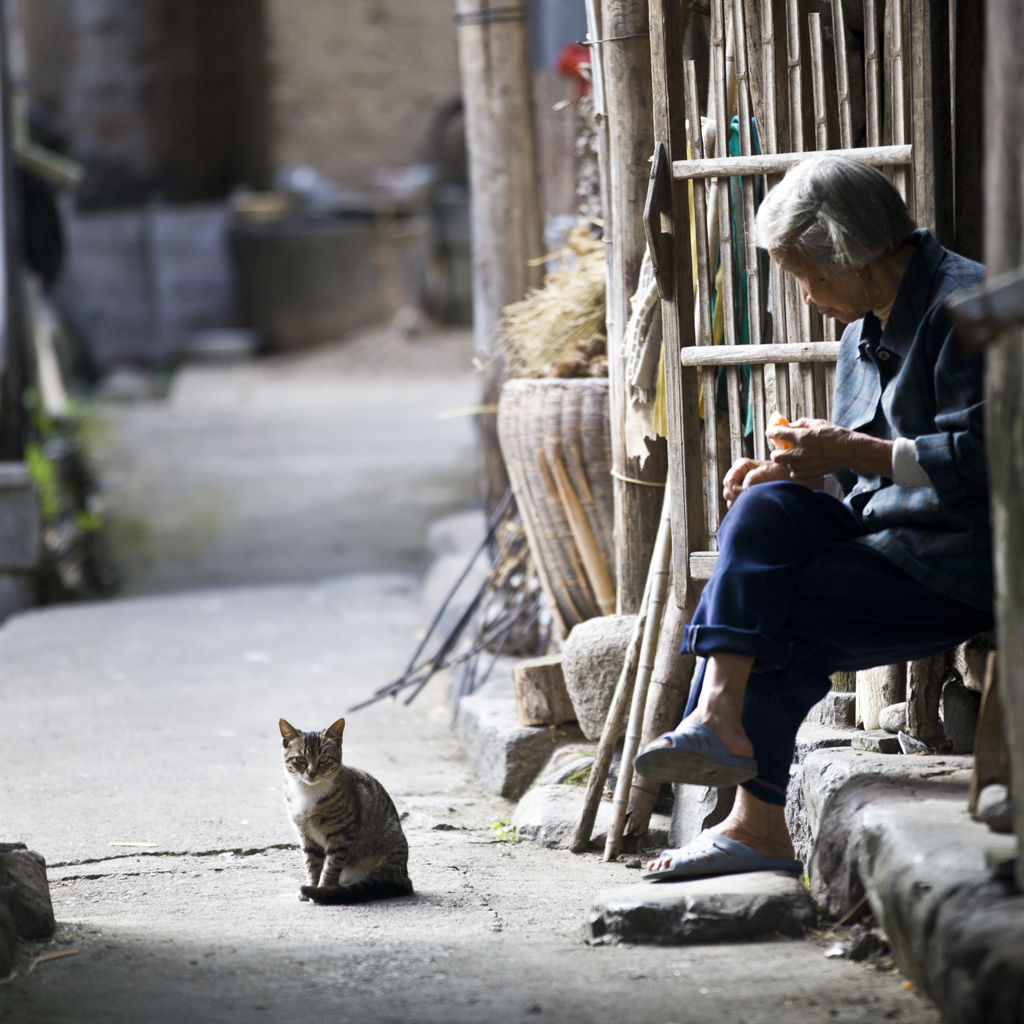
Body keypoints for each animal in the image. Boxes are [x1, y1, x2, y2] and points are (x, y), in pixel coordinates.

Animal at [280, 716, 411, 909]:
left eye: (324, 758)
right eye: (300, 759)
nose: (311, 773)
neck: (309, 792)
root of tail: (404, 875)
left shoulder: (341, 834)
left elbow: (331, 867)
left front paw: (321, 890)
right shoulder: (306, 835)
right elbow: (312, 864)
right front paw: (312, 886)